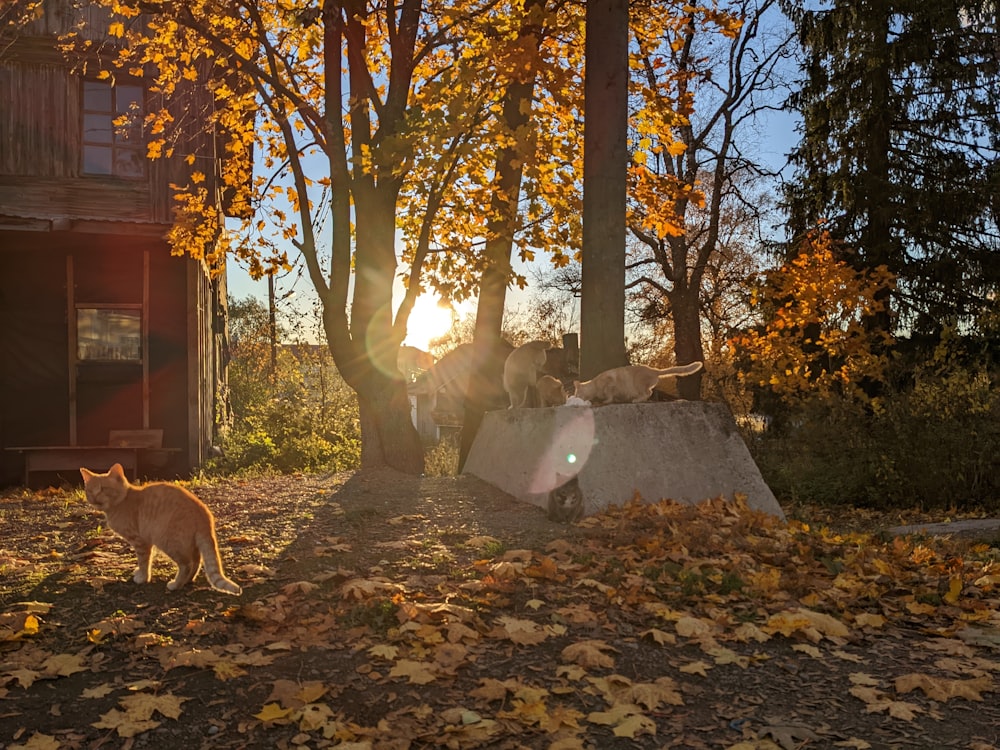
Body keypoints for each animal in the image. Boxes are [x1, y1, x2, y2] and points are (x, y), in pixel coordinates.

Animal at [79, 462, 241, 596]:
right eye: (90, 491)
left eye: (103, 489)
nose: (94, 499)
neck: (122, 502)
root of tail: (204, 513)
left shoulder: (141, 541)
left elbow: (144, 562)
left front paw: (142, 577)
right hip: (189, 543)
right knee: (197, 561)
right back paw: (188, 581)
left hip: (167, 541)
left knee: (187, 564)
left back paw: (176, 585)